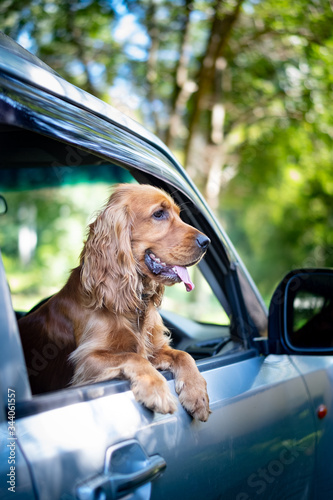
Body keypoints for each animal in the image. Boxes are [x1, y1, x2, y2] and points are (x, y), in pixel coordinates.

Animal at [18, 186, 210, 420]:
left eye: (179, 215)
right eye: (158, 214)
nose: (206, 242)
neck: (133, 301)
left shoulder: (155, 347)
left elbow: (183, 355)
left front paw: (197, 392)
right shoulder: (86, 359)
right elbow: (134, 358)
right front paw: (157, 390)